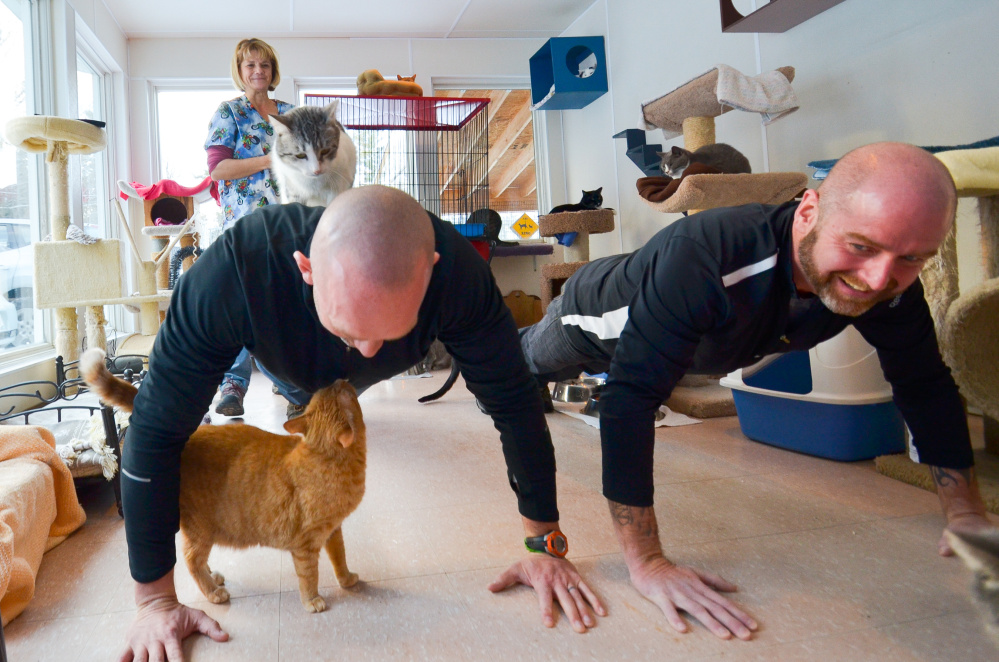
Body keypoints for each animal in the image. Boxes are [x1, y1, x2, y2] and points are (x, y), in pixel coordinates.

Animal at [79, 350, 368, 616]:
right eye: (343, 392)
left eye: (329, 391)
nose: (340, 379)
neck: (322, 456)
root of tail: (192, 433)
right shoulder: (305, 544)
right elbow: (309, 576)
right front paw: (312, 600)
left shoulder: (333, 530)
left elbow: (339, 557)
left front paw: (347, 580)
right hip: (201, 529)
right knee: (190, 559)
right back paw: (212, 591)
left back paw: (212, 576)